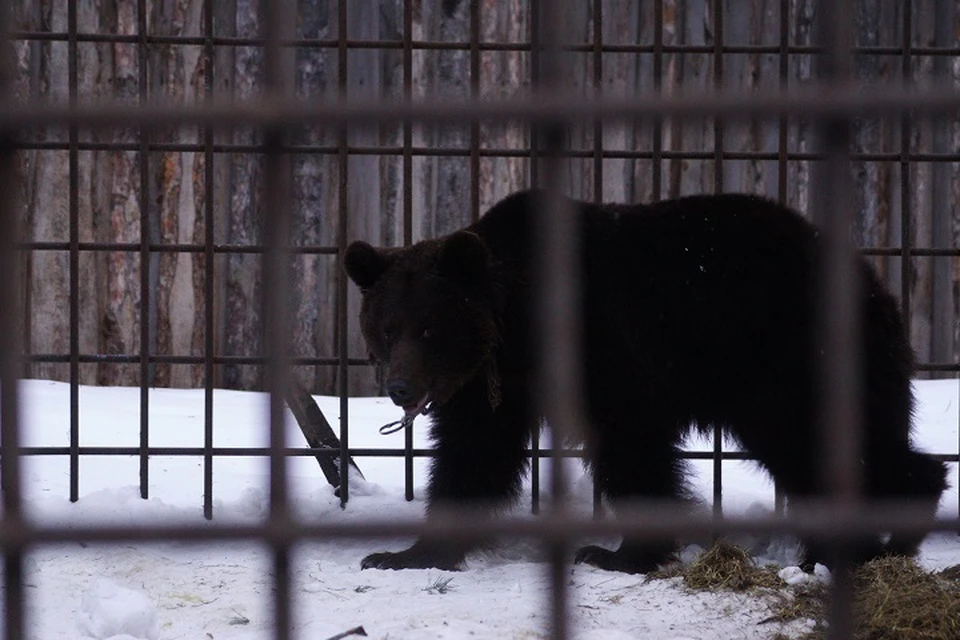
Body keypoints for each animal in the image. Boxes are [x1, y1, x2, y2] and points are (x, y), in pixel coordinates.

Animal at [344, 190, 944, 576]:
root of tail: (875, 286)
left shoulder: (608, 345)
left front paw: (619, 554)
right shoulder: (495, 387)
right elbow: (471, 457)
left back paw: (882, 535)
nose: (400, 387)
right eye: (386, 326)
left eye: (429, 327)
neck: (517, 325)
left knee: (823, 443)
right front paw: (402, 554)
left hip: (789, 357)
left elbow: (631, 444)